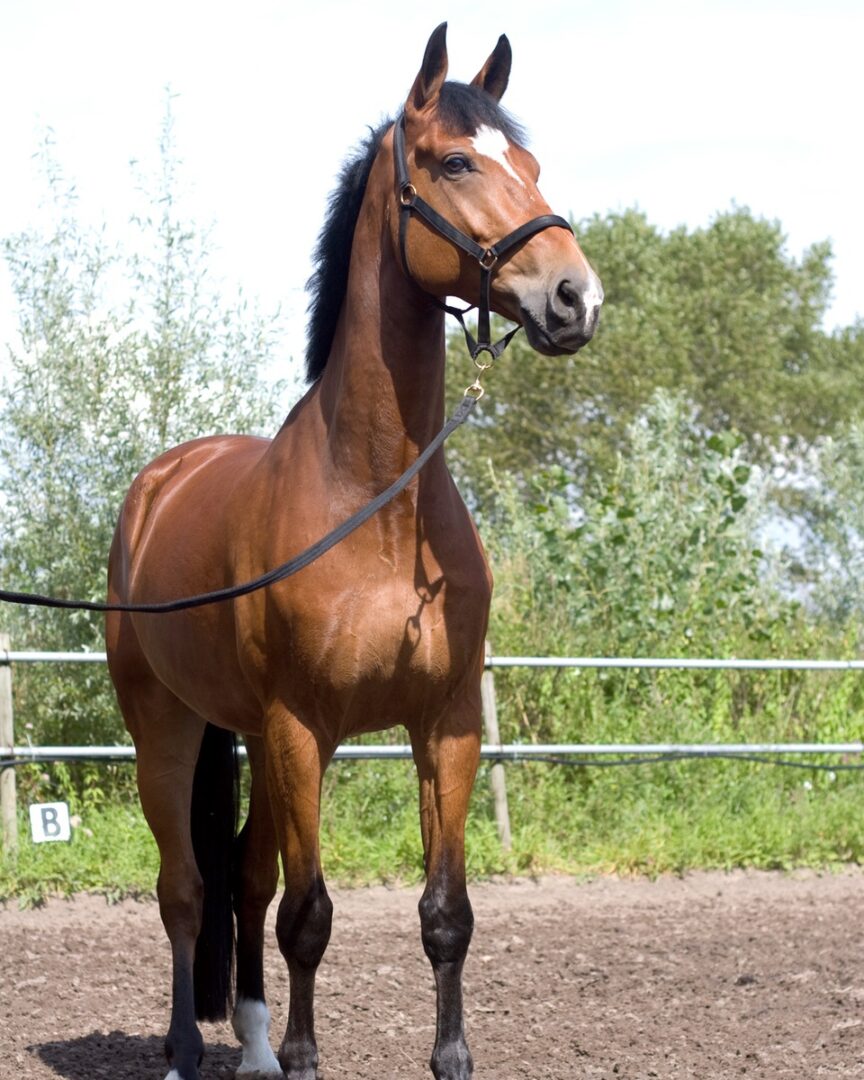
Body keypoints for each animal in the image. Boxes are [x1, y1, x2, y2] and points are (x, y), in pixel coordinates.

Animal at [105, 23, 602, 1080]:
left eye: (533, 167)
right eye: (454, 162)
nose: (575, 297)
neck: (378, 508)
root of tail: (161, 483)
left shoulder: (444, 726)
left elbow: (445, 914)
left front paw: (449, 1056)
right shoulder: (304, 728)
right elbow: (310, 915)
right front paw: (303, 1056)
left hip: (247, 735)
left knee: (242, 875)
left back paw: (251, 1046)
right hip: (165, 727)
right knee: (186, 889)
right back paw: (185, 1050)